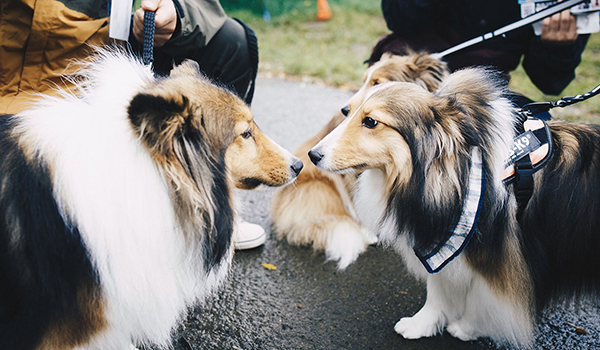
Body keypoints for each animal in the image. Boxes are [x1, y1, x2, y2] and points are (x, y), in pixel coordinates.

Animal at [310, 67, 600, 346]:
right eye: (348, 111)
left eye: (370, 121)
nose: (313, 155)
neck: (460, 172)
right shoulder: (439, 238)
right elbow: (438, 286)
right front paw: (423, 324)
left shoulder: (499, 260)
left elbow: (482, 298)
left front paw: (467, 328)